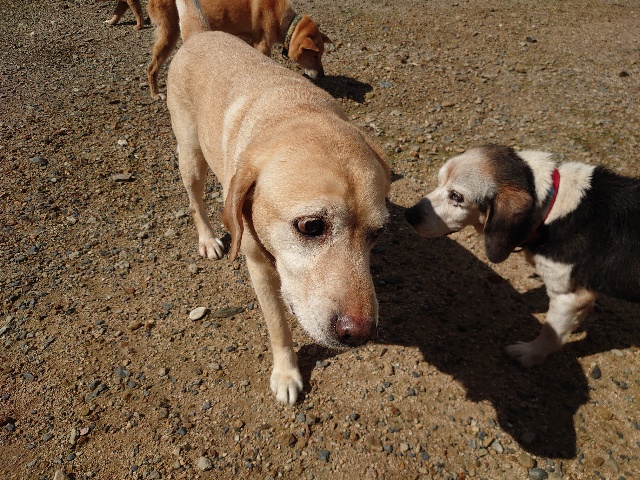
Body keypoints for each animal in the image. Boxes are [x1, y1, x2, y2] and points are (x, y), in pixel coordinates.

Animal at [147, 0, 331, 99]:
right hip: (170, 34)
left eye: (321, 55)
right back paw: (155, 93)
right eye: (314, 56)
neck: (284, 22)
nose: (322, 75)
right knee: (151, 68)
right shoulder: (262, 45)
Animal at [167, 0, 390, 404]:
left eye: (377, 233)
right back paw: (207, 239)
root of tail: (198, 33)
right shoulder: (258, 267)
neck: (293, 116)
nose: (361, 334)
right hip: (190, 156)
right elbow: (278, 328)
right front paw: (286, 374)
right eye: (311, 226)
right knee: (194, 200)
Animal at [405, 144, 640, 367]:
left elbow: (550, 334)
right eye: (439, 181)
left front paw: (530, 354)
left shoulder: (568, 297)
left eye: (457, 196)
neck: (551, 206)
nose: (409, 214)